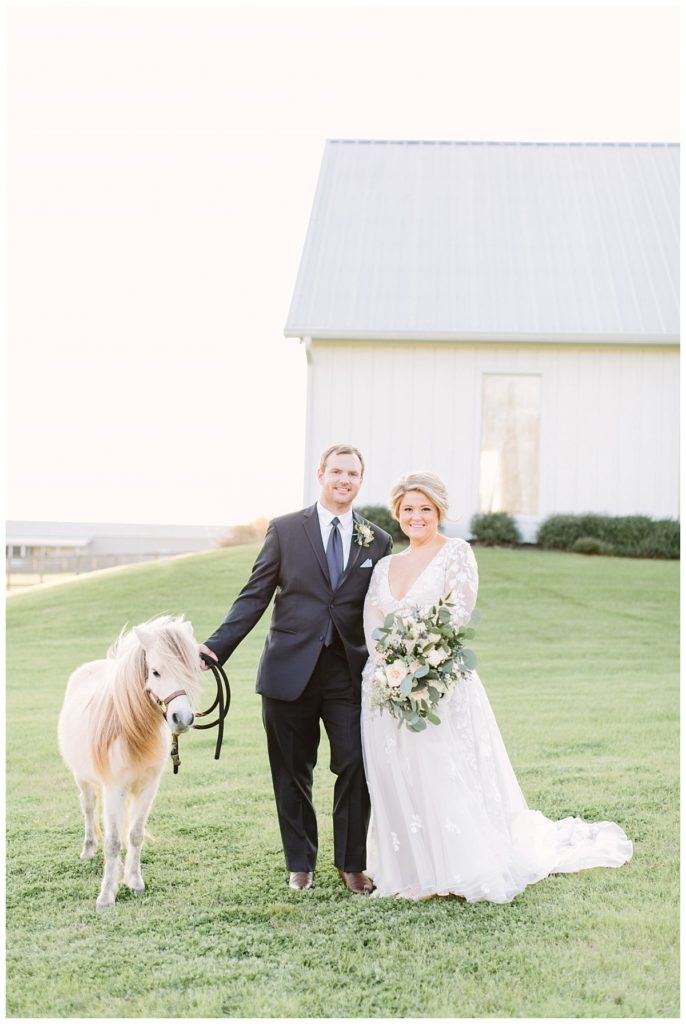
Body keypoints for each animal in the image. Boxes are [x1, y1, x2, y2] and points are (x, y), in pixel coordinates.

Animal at [57, 614, 200, 913]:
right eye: (155, 672)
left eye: (191, 670)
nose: (182, 719)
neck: (129, 731)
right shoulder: (114, 789)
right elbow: (112, 842)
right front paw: (106, 895)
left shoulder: (147, 788)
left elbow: (134, 834)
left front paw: (133, 881)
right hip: (83, 778)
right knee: (88, 808)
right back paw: (88, 849)